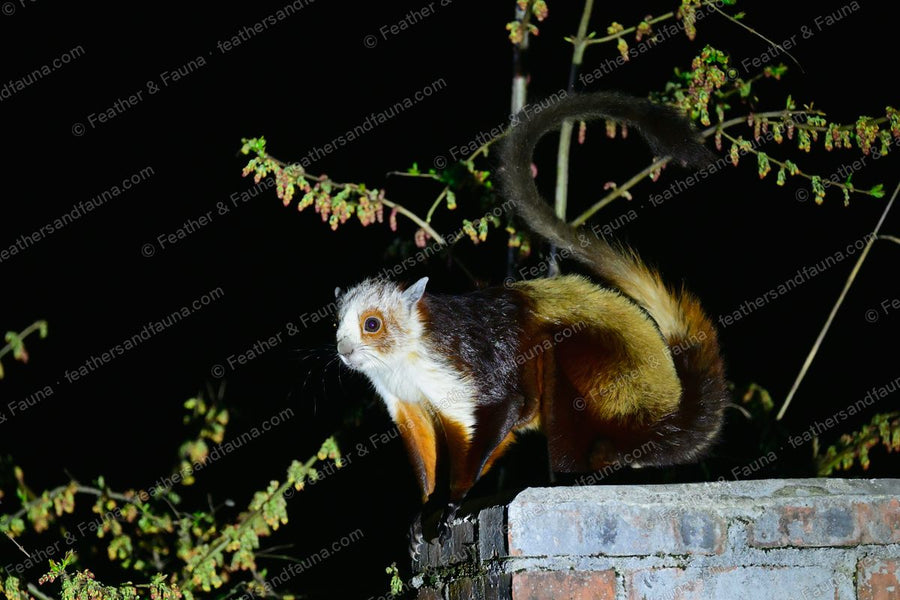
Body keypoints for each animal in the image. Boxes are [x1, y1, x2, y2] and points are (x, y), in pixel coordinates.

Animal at [334, 91, 728, 554]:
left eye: (372, 325)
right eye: (339, 326)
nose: (344, 350)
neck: (404, 355)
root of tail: (660, 418)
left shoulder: (454, 363)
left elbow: (511, 404)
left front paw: (454, 501)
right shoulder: (401, 396)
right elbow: (430, 439)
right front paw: (426, 508)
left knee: (556, 358)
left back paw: (573, 478)